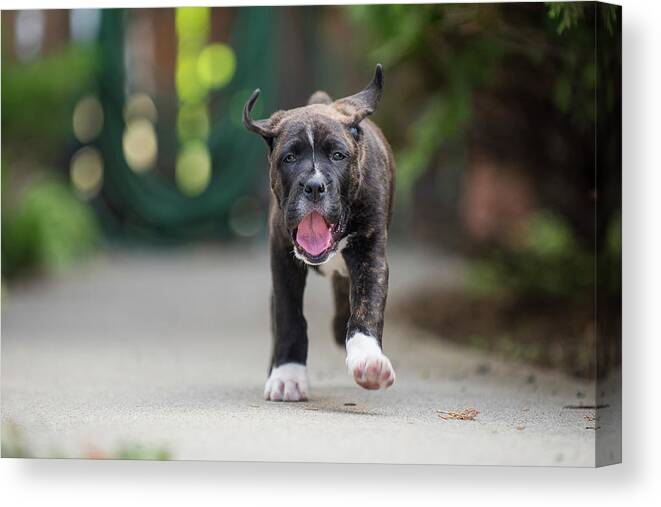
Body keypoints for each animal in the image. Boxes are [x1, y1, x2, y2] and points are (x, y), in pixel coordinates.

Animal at [245, 65, 394, 402]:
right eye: (289, 158)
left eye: (338, 156)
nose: (314, 186)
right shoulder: (281, 259)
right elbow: (289, 317)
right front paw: (287, 375)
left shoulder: (371, 257)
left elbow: (367, 306)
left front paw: (368, 359)